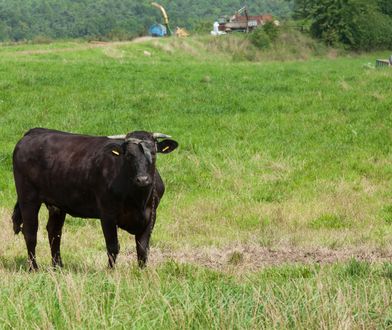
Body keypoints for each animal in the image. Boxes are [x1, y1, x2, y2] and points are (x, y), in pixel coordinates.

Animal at [11, 127, 178, 270]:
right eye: (129, 156)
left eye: (154, 153)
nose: (143, 179)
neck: (138, 200)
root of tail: (34, 132)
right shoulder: (107, 214)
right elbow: (113, 246)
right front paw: (111, 272)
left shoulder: (151, 215)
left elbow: (143, 248)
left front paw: (142, 272)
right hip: (28, 197)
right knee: (30, 232)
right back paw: (34, 268)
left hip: (57, 204)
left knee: (54, 232)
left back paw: (58, 266)